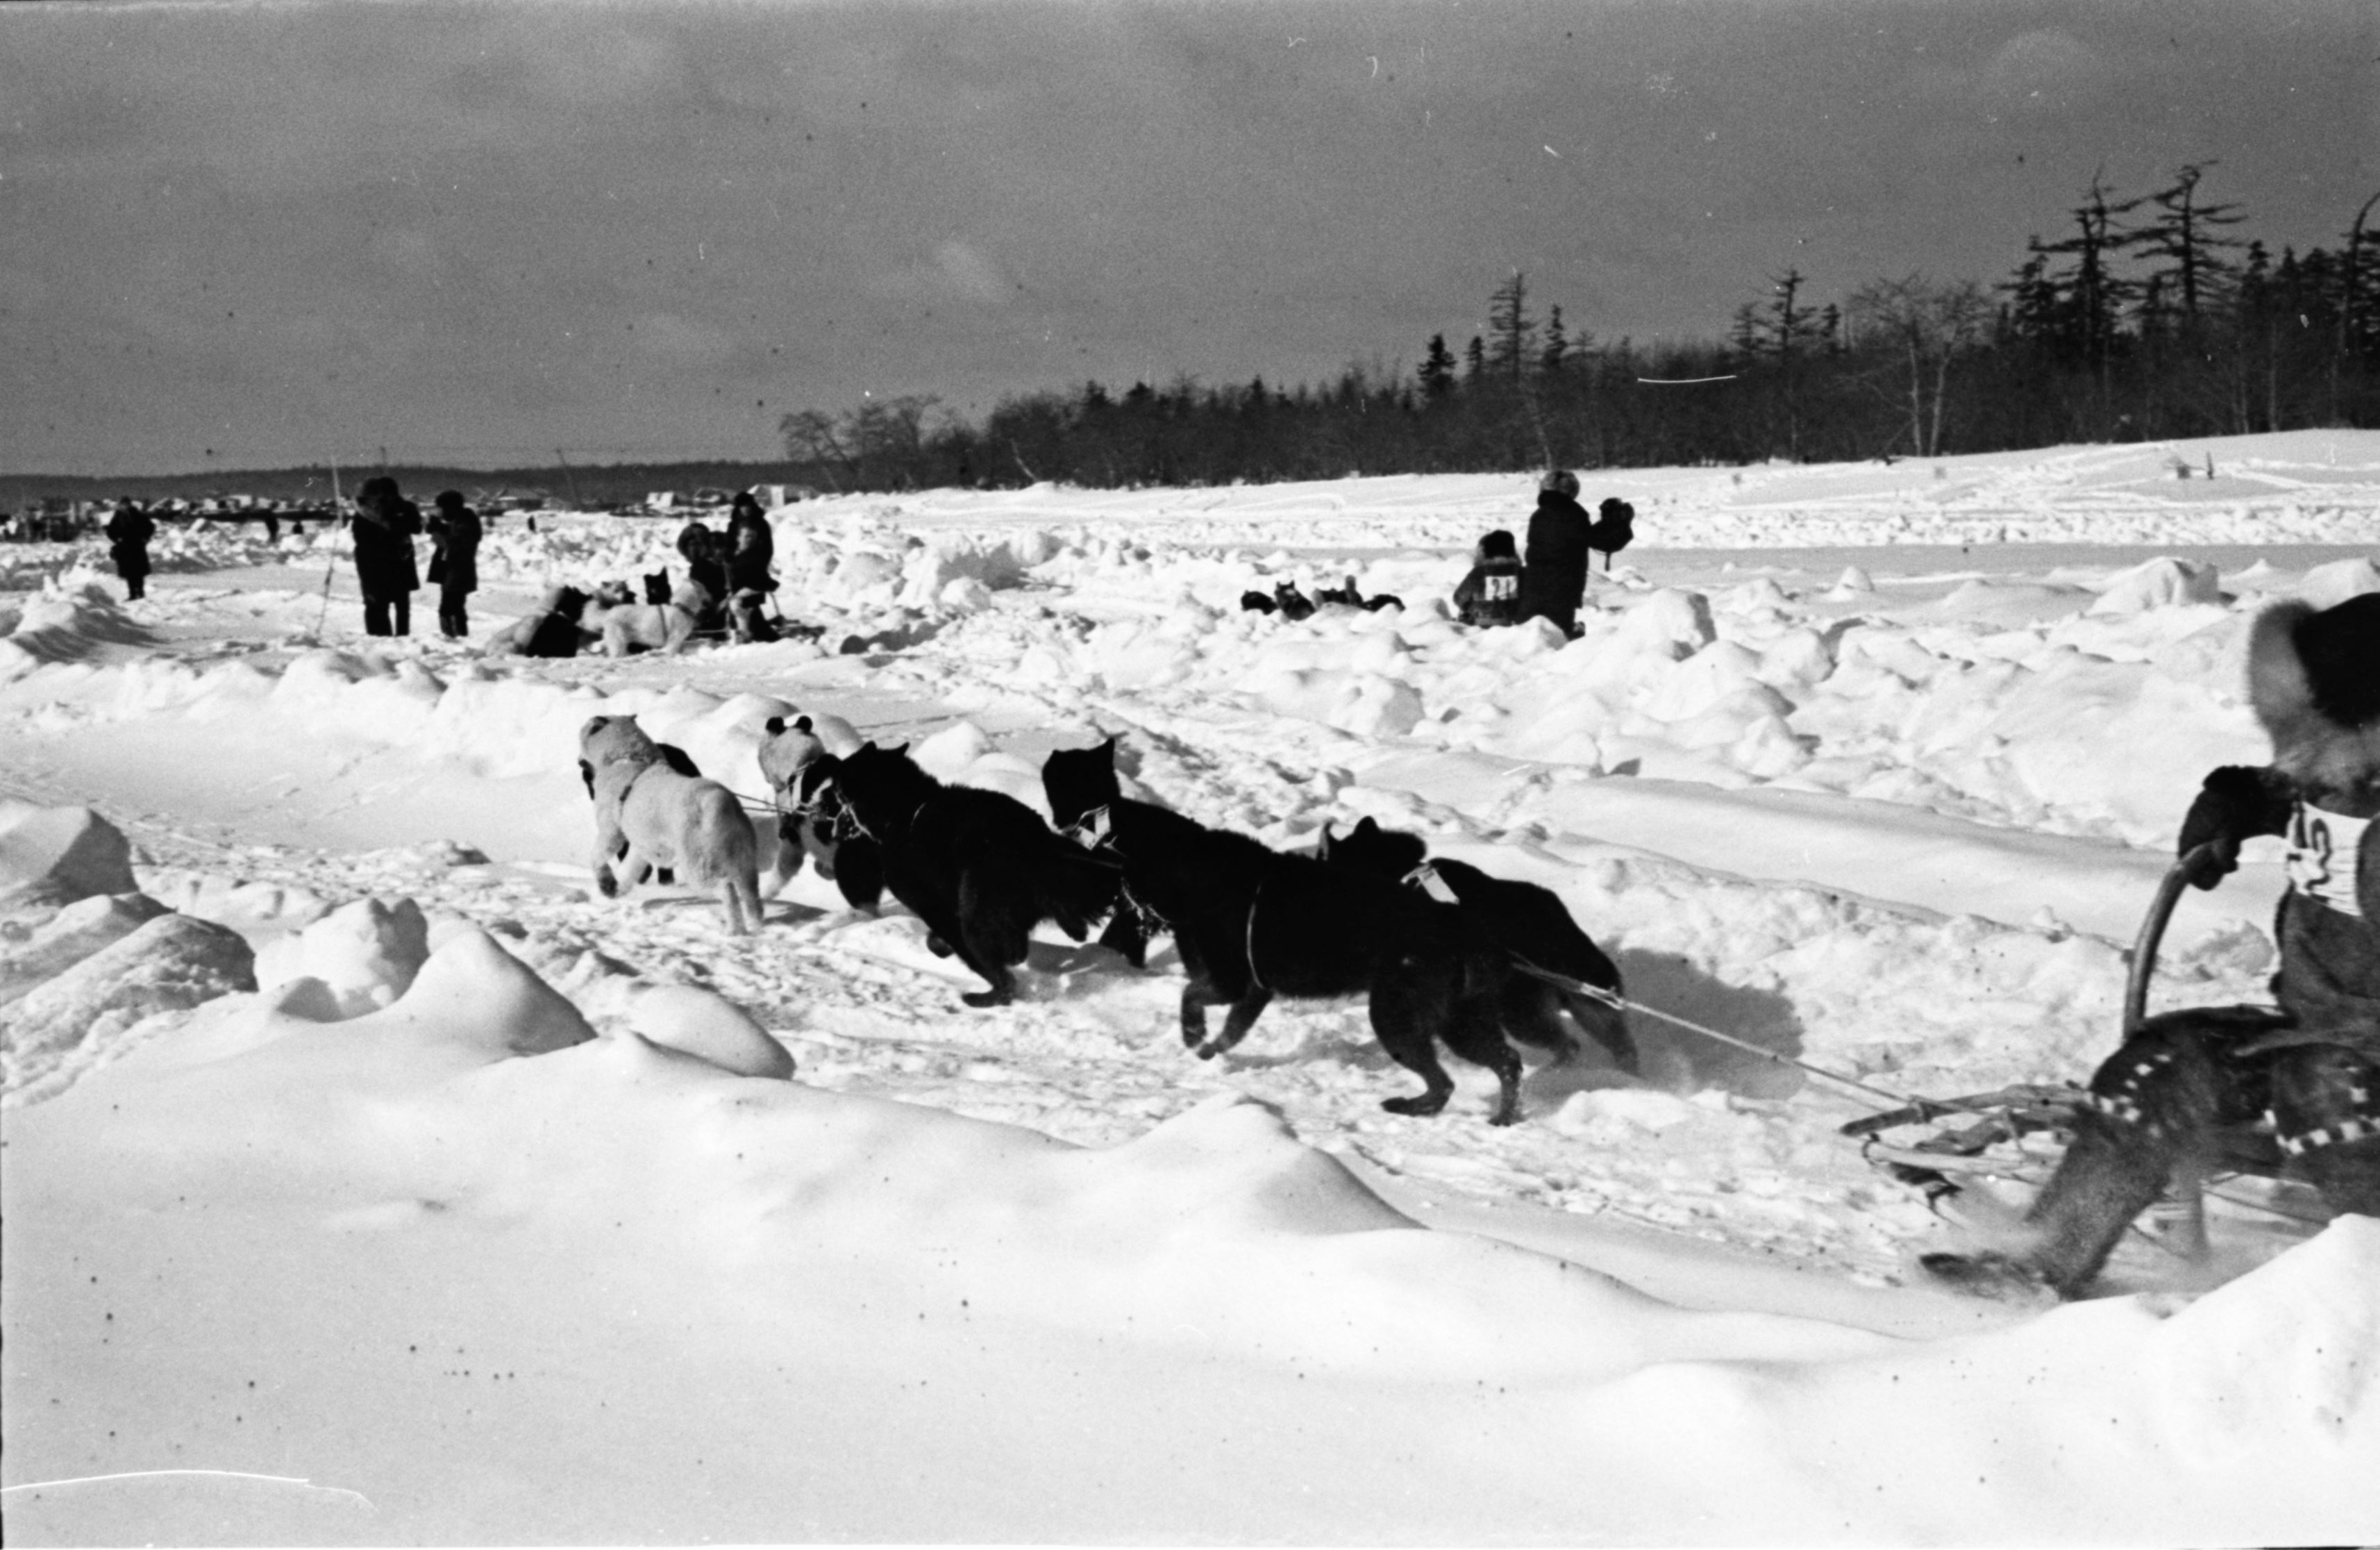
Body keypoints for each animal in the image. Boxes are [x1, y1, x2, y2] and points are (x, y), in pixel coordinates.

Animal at [578, 714, 757, 933]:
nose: (579, 761)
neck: (629, 758)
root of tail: (719, 802)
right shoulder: (642, 848)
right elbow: (629, 870)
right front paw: (615, 889)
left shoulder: (611, 832)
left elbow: (597, 857)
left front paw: (606, 883)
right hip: (745, 863)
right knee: (751, 896)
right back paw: (756, 925)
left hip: (698, 865)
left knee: (727, 889)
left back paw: (734, 930)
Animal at [814, 747, 1118, 1014]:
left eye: (837, 790)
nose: (824, 809)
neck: (904, 810)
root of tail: (1031, 844)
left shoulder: (935, 909)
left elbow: (953, 945)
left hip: (976, 917)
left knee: (1003, 978)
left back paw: (984, 996)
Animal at [1042, 733, 1523, 1124]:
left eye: (1128, 874)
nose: (1123, 902)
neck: (1197, 870)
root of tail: (1464, 931)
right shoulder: (1254, 992)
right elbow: (1229, 1030)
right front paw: (1208, 1050)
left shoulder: (1231, 981)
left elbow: (1190, 997)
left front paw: (1193, 1037)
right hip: (1459, 1021)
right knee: (1508, 1062)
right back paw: (1500, 1116)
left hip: (1395, 1015)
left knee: (1446, 1081)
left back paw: (1410, 1106)